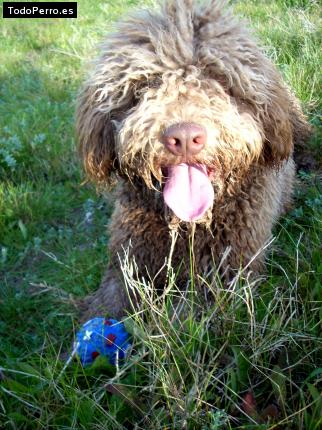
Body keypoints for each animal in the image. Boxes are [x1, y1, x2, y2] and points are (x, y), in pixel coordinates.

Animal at [75, 0, 310, 320]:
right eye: (146, 85)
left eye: (220, 80)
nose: (184, 137)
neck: (186, 226)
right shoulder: (127, 262)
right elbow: (104, 305)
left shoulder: (223, 278)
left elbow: (176, 320)